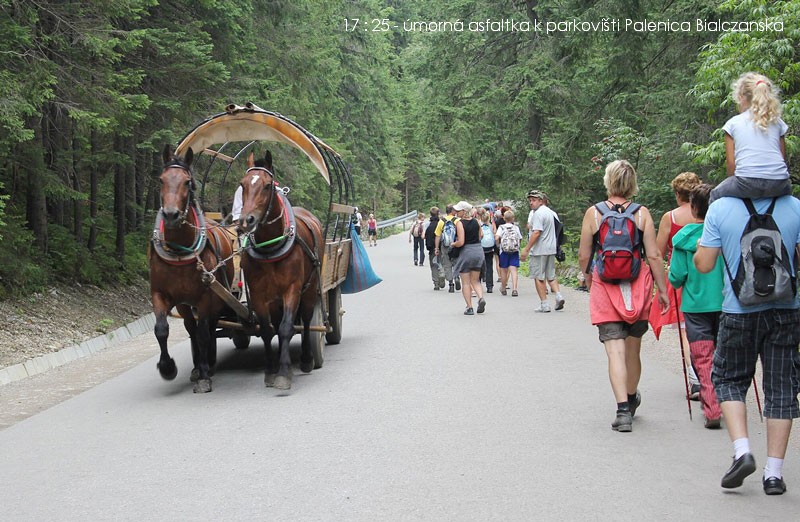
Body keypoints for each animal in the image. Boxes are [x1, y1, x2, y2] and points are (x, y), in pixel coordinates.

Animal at [148, 144, 234, 392]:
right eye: (161, 179)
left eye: (187, 182)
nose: (170, 214)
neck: (180, 250)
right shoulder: (160, 294)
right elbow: (162, 329)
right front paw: (167, 367)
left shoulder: (206, 296)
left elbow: (204, 333)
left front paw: (205, 375)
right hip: (185, 304)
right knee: (190, 327)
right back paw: (197, 367)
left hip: (217, 297)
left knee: (207, 328)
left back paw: (207, 366)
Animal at [239, 149, 324, 386]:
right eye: (242, 184)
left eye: (267, 185)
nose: (247, 220)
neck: (270, 247)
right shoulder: (258, 294)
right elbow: (268, 331)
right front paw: (271, 369)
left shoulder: (292, 289)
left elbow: (287, 328)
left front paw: (284, 372)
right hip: (274, 300)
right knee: (276, 325)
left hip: (310, 288)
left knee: (305, 320)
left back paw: (306, 359)